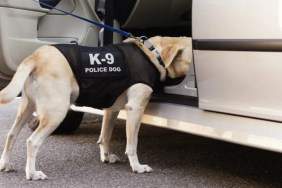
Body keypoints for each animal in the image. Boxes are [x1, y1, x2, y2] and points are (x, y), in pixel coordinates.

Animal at [0, 36, 192, 180]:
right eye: (191, 61)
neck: (151, 53)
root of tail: (36, 56)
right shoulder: (135, 108)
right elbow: (132, 145)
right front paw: (137, 167)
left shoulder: (111, 109)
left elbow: (105, 136)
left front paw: (106, 157)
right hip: (57, 112)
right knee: (32, 142)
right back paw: (32, 173)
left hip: (26, 108)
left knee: (11, 135)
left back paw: (5, 164)